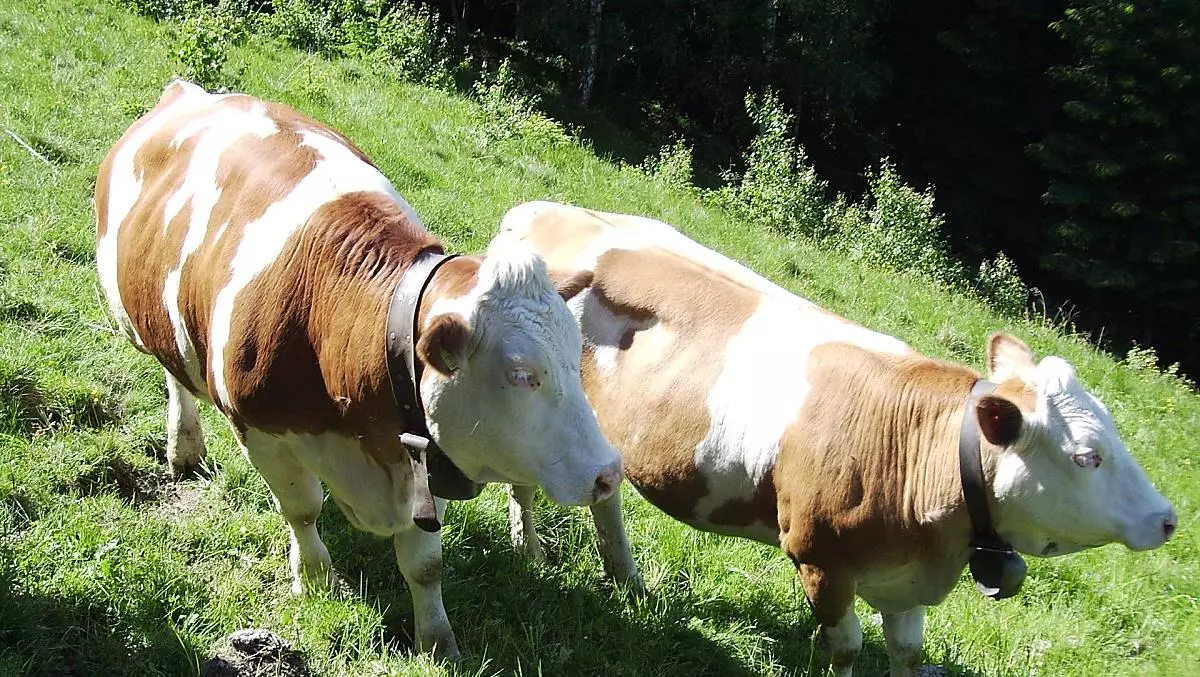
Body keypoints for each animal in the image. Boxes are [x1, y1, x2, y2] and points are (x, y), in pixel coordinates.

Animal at [93, 82, 622, 660]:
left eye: (575, 358)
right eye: (521, 374)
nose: (610, 472)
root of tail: (188, 90)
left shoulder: (425, 446)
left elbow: (425, 564)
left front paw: (438, 639)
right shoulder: (261, 432)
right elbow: (302, 509)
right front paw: (315, 579)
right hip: (141, 319)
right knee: (174, 373)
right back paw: (184, 444)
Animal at [499, 201, 1178, 677]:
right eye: (1087, 456)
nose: (1168, 519)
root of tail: (541, 210)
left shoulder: (907, 583)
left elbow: (907, 651)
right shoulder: (819, 557)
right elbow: (847, 648)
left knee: (604, 490)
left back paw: (625, 575)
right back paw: (529, 550)